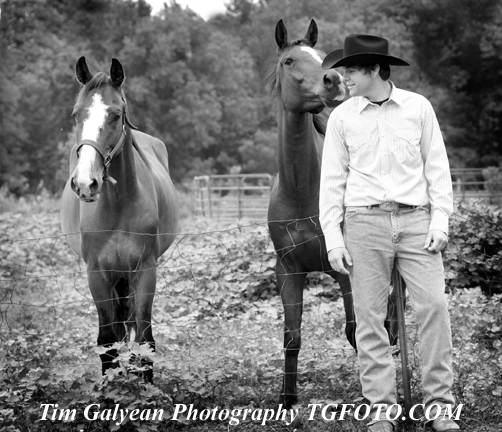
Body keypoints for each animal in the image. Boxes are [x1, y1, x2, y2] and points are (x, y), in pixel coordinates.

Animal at [61, 57, 178, 382]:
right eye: (76, 114)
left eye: (115, 115)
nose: (86, 183)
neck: (117, 206)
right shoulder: (97, 274)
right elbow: (107, 342)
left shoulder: (145, 270)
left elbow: (145, 341)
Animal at [266, 20, 400, 408]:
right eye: (289, 60)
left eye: (323, 56)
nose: (333, 81)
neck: (302, 195)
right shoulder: (288, 271)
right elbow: (292, 337)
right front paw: (287, 399)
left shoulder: (345, 272)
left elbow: (357, 331)